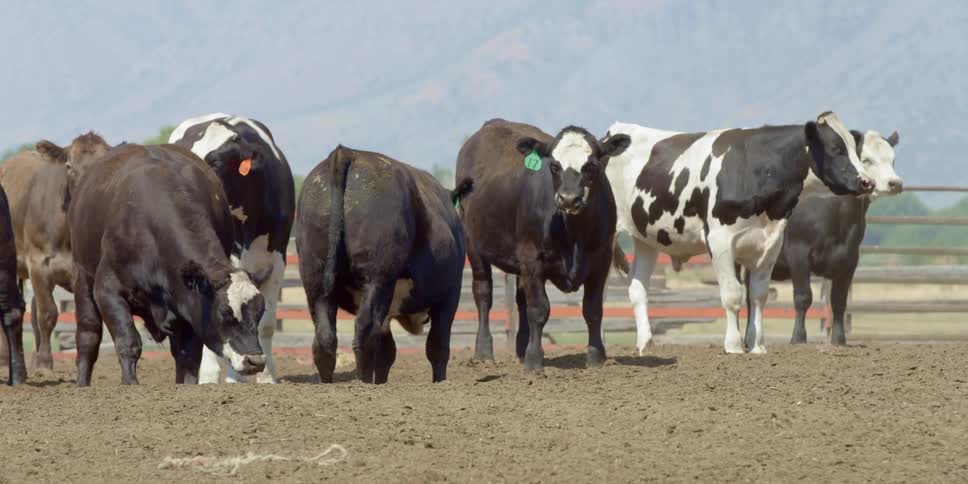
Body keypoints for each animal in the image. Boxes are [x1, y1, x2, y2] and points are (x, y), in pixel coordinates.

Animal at [68, 143, 266, 386]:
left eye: (260, 312)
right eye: (225, 314)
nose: (255, 361)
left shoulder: (190, 306)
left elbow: (188, 356)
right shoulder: (108, 290)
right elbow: (128, 341)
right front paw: (130, 383)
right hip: (82, 276)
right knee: (88, 337)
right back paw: (82, 384)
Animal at [296, 145, 471, 384]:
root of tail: (347, 153)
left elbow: (387, 352)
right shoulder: (450, 294)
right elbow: (437, 346)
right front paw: (440, 382)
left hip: (316, 282)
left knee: (325, 338)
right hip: (377, 279)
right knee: (365, 330)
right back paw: (363, 382)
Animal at [457, 119, 631, 372]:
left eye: (591, 165)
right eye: (554, 166)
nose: (568, 199)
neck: (574, 234)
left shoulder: (601, 259)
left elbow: (593, 309)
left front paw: (596, 357)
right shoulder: (532, 259)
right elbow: (539, 310)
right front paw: (534, 361)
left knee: (520, 300)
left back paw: (520, 348)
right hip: (474, 246)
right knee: (483, 294)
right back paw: (484, 351)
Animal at [606, 112, 874, 355]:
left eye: (855, 149)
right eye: (835, 148)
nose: (867, 182)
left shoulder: (770, 244)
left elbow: (758, 296)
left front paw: (757, 345)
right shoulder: (720, 241)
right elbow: (733, 295)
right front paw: (734, 345)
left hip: (646, 239)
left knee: (638, 289)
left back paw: (646, 343)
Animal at [743, 130, 901, 348]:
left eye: (893, 159)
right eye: (866, 160)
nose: (895, 183)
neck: (837, 213)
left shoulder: (849, 259)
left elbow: (839, 301)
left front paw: (839, 340)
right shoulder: (798, 253)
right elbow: (803, 297)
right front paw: (798, 338)